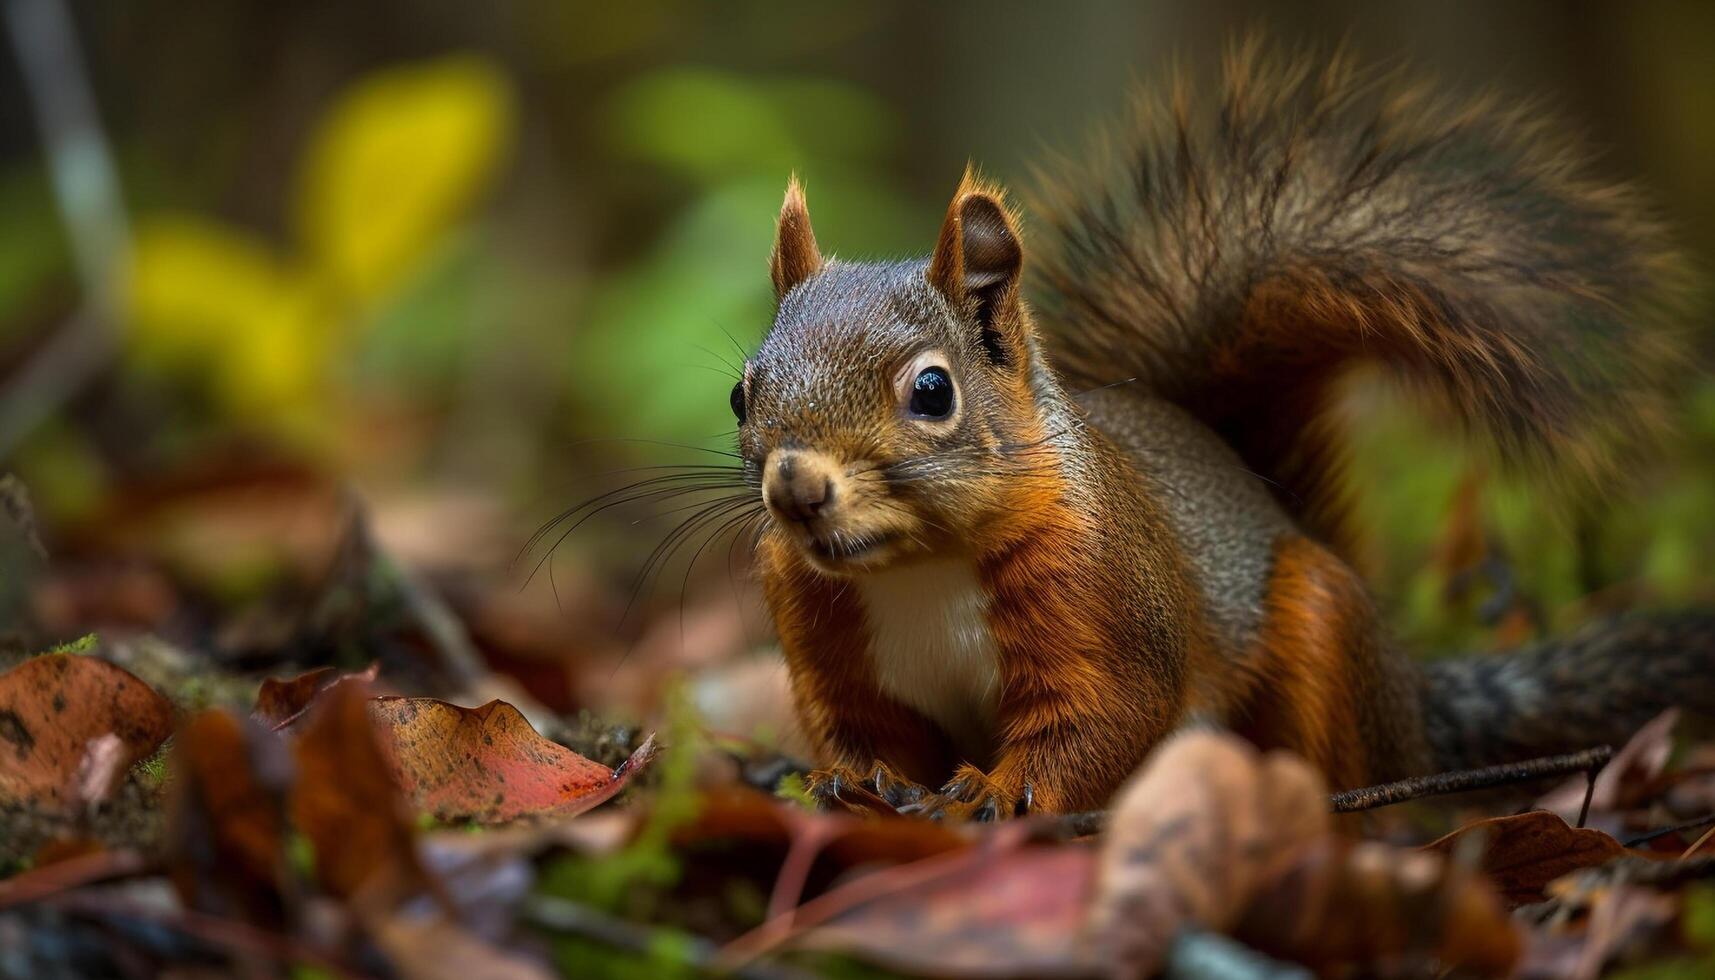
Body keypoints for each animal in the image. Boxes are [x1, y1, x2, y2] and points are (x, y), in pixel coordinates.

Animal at [727, 42, 1715, 816]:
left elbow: (1101, 719)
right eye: (741, 393)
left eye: (932, 392)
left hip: (1318, 628)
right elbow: (862, 733)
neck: (916, 571)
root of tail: (1407, 703)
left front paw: (990, 795)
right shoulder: (823, 638)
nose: (795, 486)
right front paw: (847, 783)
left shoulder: (1106, 595)